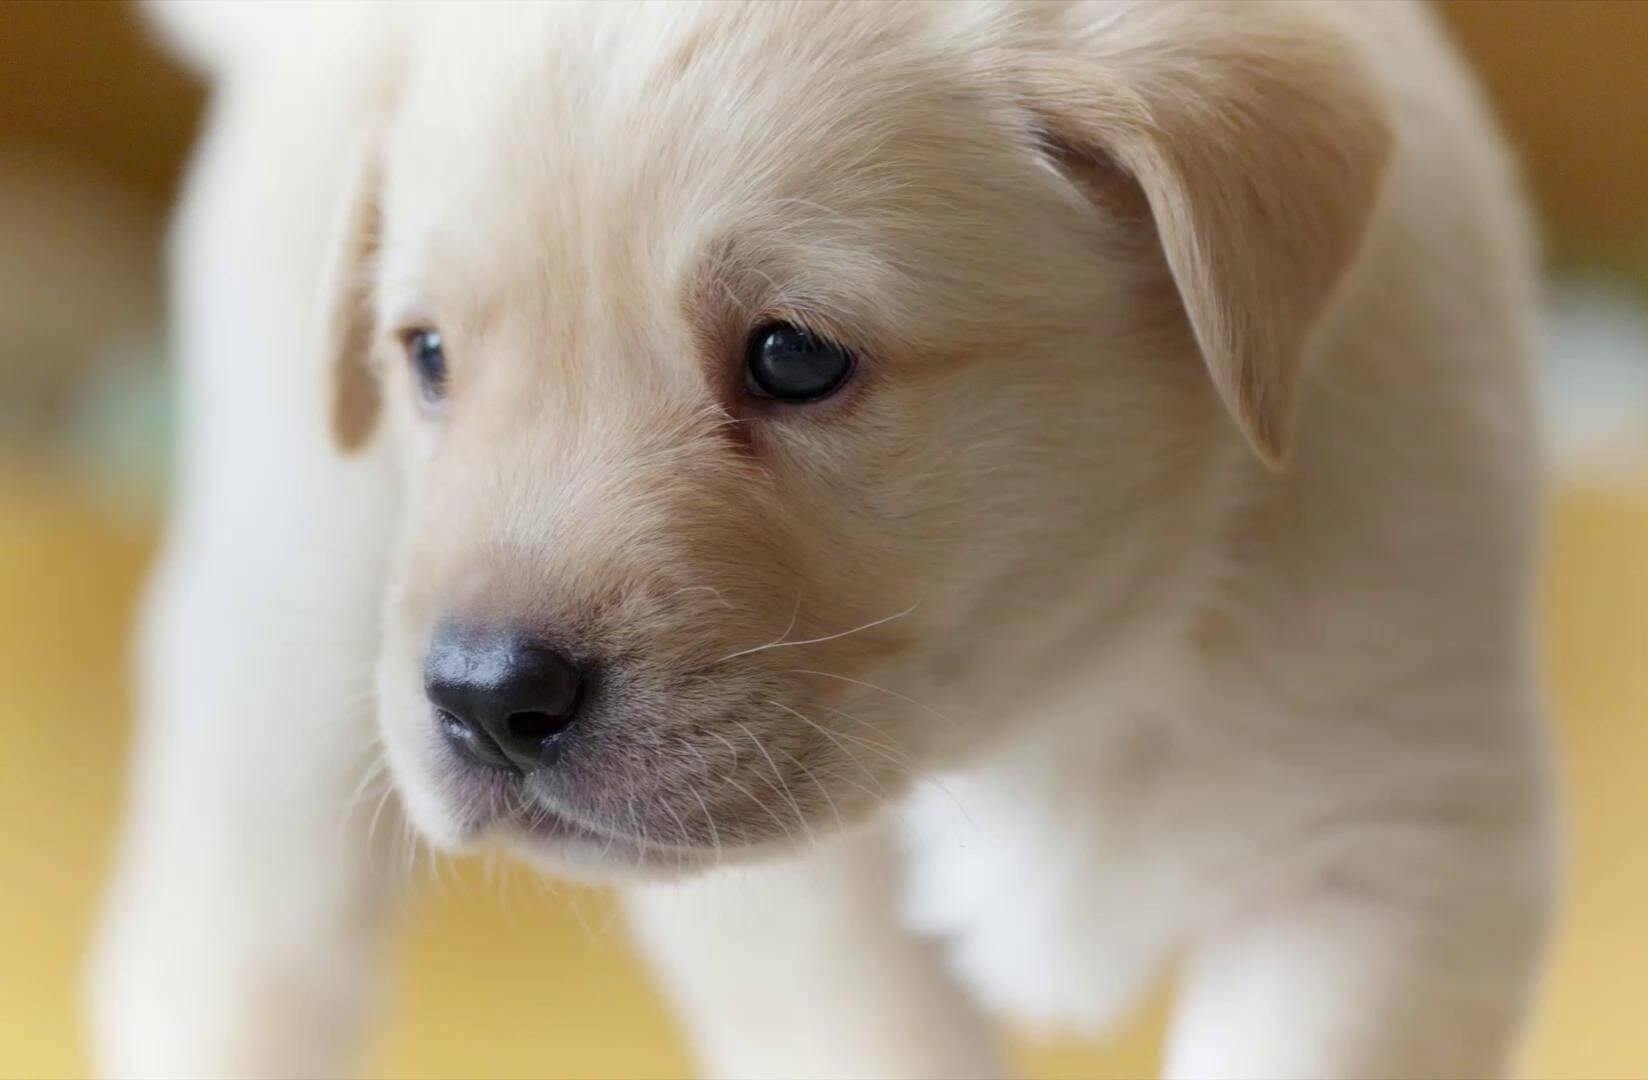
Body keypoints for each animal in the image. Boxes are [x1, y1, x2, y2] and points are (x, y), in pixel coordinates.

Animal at [93, 4, 1555, 1075]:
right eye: (429, 358)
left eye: (794, 358)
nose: (487, 700)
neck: (1061, 692)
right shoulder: (789, 917)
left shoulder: (1395, 847)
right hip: (287, 642)